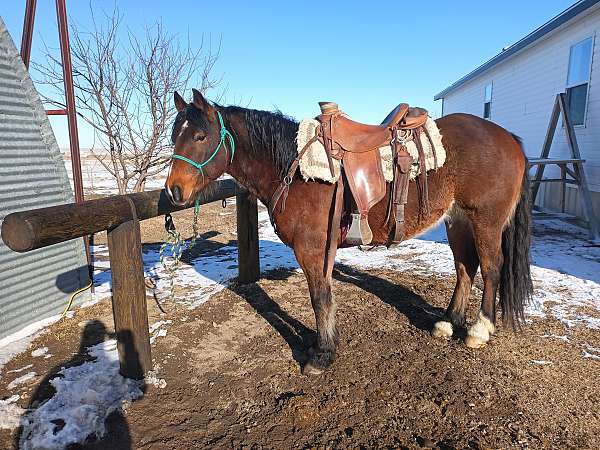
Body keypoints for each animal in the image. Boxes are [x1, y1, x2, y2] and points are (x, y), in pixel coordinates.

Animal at [166, 89, 532, 374]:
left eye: (200, 136)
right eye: (174, 137)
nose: (173, 191)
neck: (293, 169)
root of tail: (510, 139)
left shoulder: (311, 248)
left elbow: (319, 298)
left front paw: (322, 354)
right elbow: (325, 296)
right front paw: (327, 344)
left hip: (485, 221)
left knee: (491, 267)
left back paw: (479, 330)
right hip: (457, 221)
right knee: (465, 267)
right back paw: (448, 323)